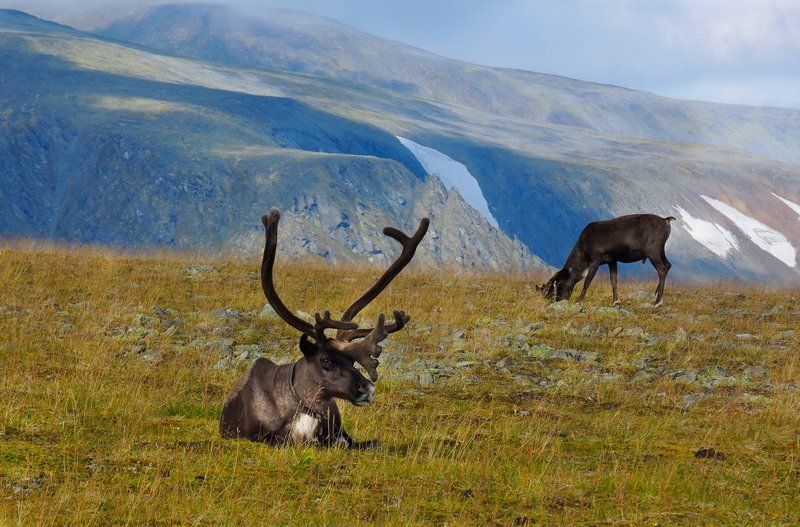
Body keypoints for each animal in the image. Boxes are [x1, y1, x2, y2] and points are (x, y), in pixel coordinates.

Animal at [538, 214, 675, 306]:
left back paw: (658, 301)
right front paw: (616, 301)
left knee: (662, 269)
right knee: (668, 265)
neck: (582, 256)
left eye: (559, 283)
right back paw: (656, 295)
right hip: (660, 250)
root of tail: (666, 220)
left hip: (653, 251)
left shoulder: (595, 260)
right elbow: (613, 280)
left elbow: (587, 281)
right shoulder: (612, 260)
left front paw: (578, 300)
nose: (557, 300)